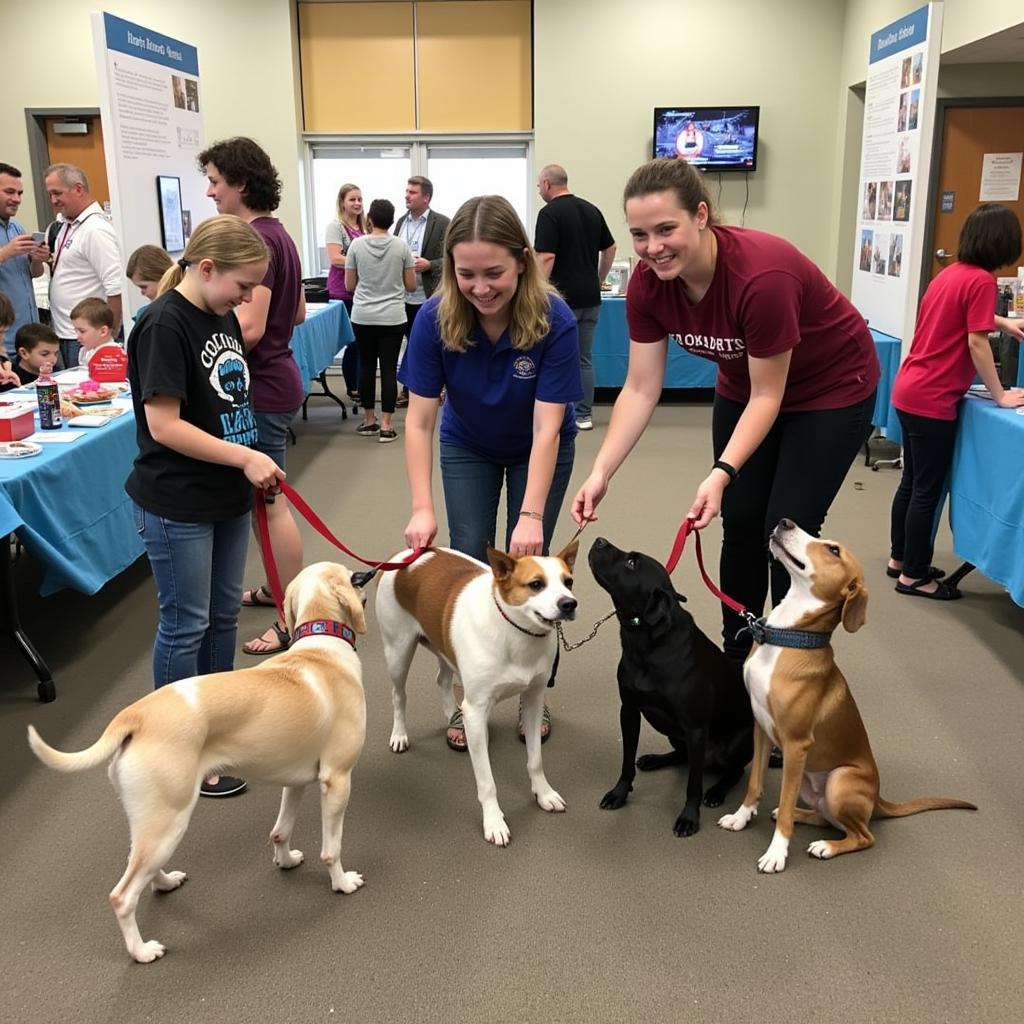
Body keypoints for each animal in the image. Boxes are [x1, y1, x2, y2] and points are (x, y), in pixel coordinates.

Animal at [27, 565, 372, 962]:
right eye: (354, 578)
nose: (368, 574)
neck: (320, 645)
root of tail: (135, 716)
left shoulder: (296, 780)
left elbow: (281, 830)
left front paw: (285, 861)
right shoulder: (337, 781)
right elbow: (332, 849)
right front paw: (342, 883)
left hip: (149, 822)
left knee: (141, 868)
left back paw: (165, 883)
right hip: (169, 820)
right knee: (122, 895)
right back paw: (142, 950)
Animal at [376, 544, 581, 847]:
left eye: (568, 582)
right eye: (536, 584)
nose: (569, 604)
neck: (515, 633)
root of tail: (407, 554)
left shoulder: (533, 701)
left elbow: (535, 760)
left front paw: (543, 793)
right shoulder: (476, 708)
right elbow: (487, 783)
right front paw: (494, 821)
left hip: (443, 647)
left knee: (442, 679)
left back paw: (453, 715)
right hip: (398, 654)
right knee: (398, 695)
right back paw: (400, 734)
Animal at [589, 540, 749, 835]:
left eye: (632, 563)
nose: (599, 541)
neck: (645, 640)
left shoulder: (696, 729)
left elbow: (693, 785)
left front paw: (689, 817)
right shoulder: (629, 711)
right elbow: (626, 763)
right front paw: (619, 794)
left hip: (734, 744)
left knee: (734, 771)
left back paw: (717, 791)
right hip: (674, 733)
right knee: (682, 755)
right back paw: (654, 759)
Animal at [720, 520, 974, 872]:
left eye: (833, 550)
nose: (785, 522)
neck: (789, 637)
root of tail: (880, 799)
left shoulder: (796, 745)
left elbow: (783, 802)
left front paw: (776, 853)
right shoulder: (761, 729)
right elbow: (755, 783)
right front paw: (742, 817)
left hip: (839, 780)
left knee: (864, 836)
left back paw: (826, 846)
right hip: (811, 783)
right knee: (823, 816)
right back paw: (800, 815)